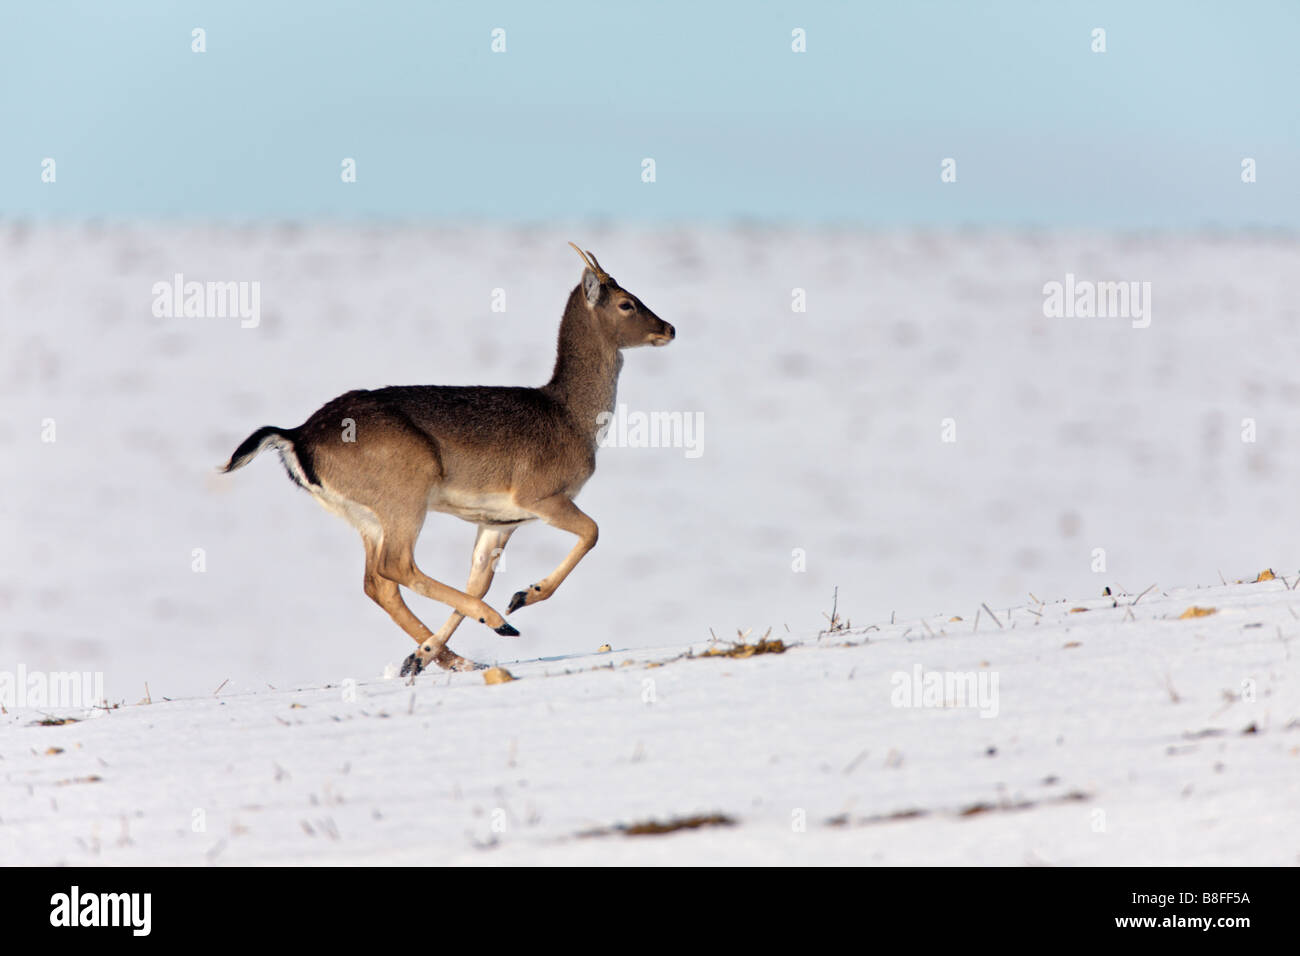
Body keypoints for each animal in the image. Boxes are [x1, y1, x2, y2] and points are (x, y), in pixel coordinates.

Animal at [218, 243, 676, 676]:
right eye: (627, 303)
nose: (669, 328)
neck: (572, 419)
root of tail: (296, 437)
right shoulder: (540, 495)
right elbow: (592, 532)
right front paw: (522, 596)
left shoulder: (498, 522)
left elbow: (478, 581)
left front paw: (425, 654)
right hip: (406, 491)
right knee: (396, 566)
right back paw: (495, 625)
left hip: (364, 515)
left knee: (377, 582)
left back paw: (446, 658)